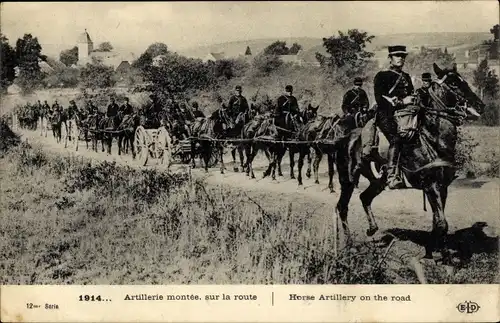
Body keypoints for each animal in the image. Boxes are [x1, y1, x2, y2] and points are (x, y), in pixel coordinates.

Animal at [332, 63, 484, 266]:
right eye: (453, 83)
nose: (480, 105)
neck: (432, 139)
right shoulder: (431, 186)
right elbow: (442, 223)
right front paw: (447, 260)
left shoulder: (442, 187)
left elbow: (437, 221)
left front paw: (431, 253)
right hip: (347, 179)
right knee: (342, 207)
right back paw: (349, 245)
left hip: (378, 180)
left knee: (365, 197)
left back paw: (372, 229)